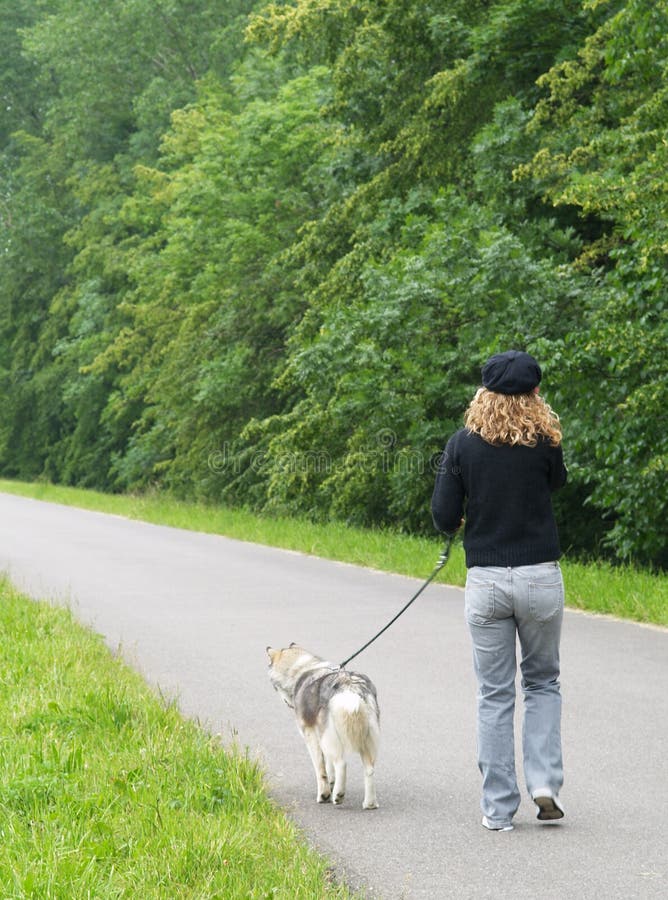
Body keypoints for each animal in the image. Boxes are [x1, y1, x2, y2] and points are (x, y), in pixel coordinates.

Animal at [268, 644, 380, 812]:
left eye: (275, 688)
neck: (301, 669)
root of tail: (350, 687)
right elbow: (328, 766)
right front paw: (331, 782)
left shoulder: (311, 736)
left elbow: (320, 769)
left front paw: (325, 794)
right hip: (365, 739)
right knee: (369, 769)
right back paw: (370, 803)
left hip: (329, 737)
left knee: (341, 763)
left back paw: (338, 795)